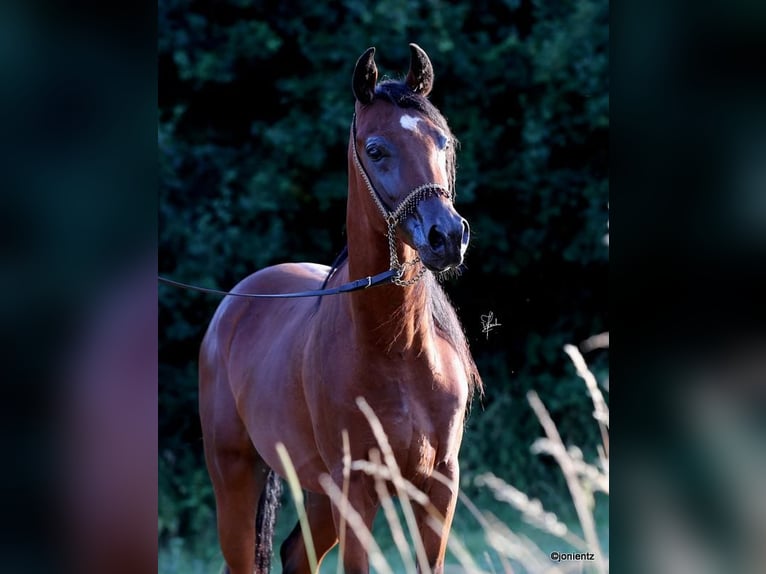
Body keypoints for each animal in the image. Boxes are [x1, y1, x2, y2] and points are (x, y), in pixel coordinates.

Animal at [198, 43, 482, 574]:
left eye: (443, 142)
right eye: (376, 149)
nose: (447, 236)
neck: (397, 348)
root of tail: (232, 308)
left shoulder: (439, 487)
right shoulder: (355, 491)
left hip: (316, 492)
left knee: (295, 555)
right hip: (235, 479)